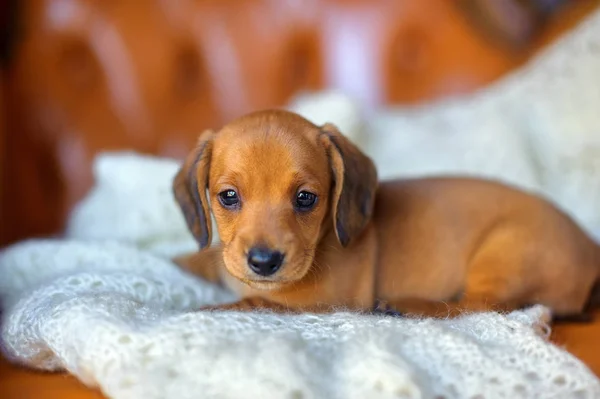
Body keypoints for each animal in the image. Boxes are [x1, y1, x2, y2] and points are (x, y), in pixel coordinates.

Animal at [172, 108, 600, 318]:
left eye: (306, 198)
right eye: (228, 196)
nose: (263, 262)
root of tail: (591, 248)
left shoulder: (327, 300)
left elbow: (257, 302)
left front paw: (209, 308)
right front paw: (184, 260)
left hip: (506, 251)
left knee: (475, 307)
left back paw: (407, 306)